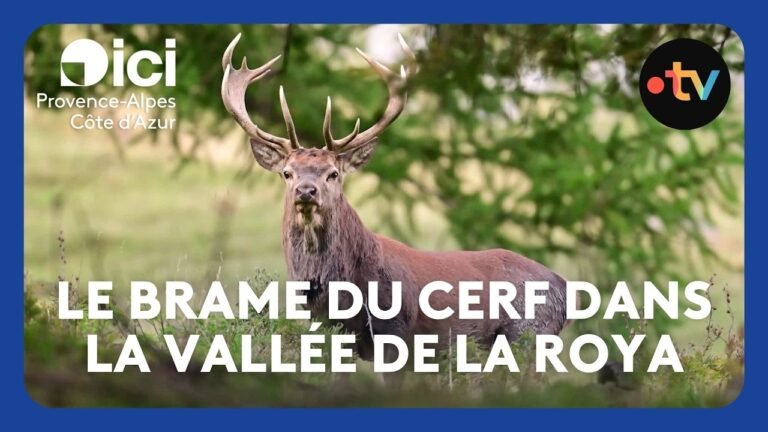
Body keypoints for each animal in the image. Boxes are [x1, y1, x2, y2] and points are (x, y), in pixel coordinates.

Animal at [221, 33, 569, 365]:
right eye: (287, 172)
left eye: (333, 173)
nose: (306, 190)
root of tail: (565, 289)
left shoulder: (395, 330)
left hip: (529, 333)